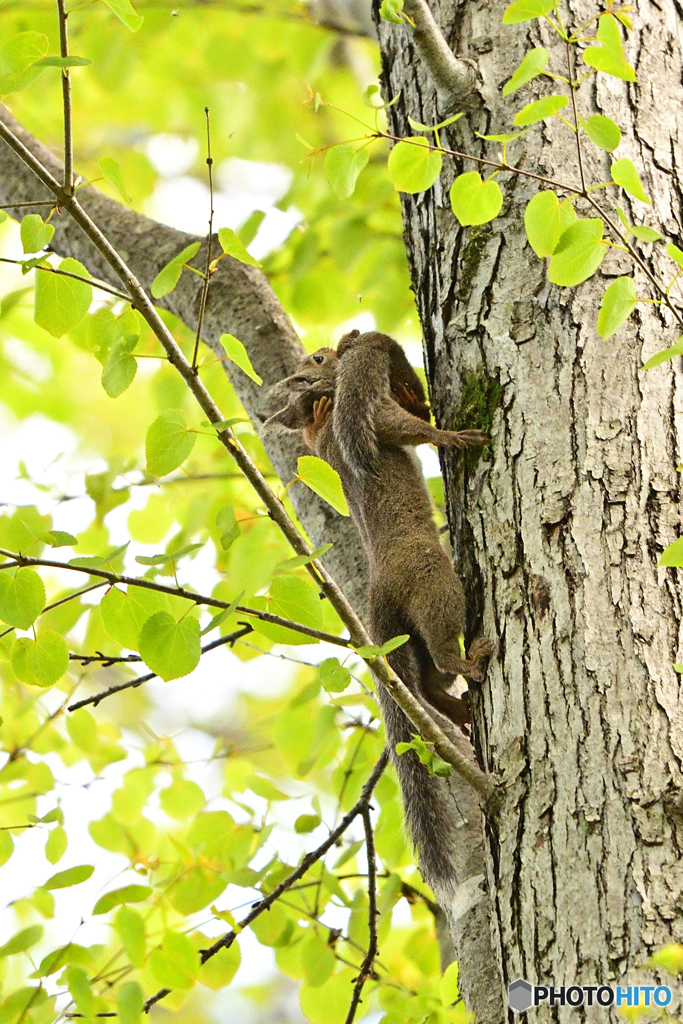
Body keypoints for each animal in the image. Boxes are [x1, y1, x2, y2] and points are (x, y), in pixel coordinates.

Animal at [264, 331, 493, 892]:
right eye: (318, 359)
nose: (340, 340)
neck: (319, 418)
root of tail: (377, 599)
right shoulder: (372, 420)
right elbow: (404, 429)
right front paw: (455, 436)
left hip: (409, 635)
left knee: (427, 684)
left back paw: (457, 707)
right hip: (434, 584)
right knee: (441, 657)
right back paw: (471, 662)